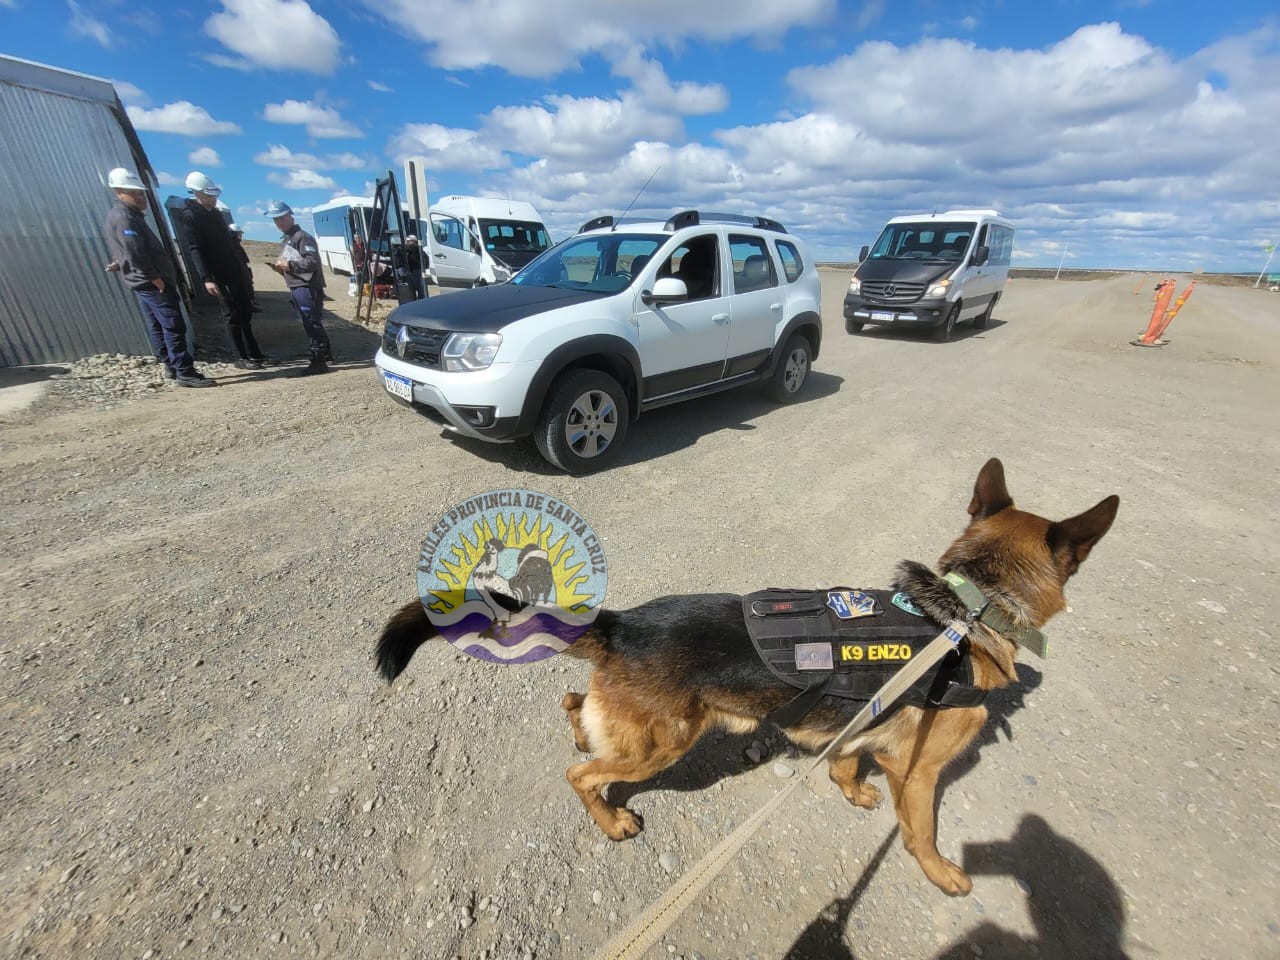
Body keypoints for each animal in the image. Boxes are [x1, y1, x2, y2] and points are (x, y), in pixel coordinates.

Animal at [373, 463, 1116, 901]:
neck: (969, 607)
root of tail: (623, 625)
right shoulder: (923, 771)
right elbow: (923, 830)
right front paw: (940, 873)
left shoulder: (856, 727)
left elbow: (845, 762)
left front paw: (851, 792)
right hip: (662, 746)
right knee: (580, 774)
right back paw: (611, 820)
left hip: (636, 725)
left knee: (574, 702)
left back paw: (583, 738)